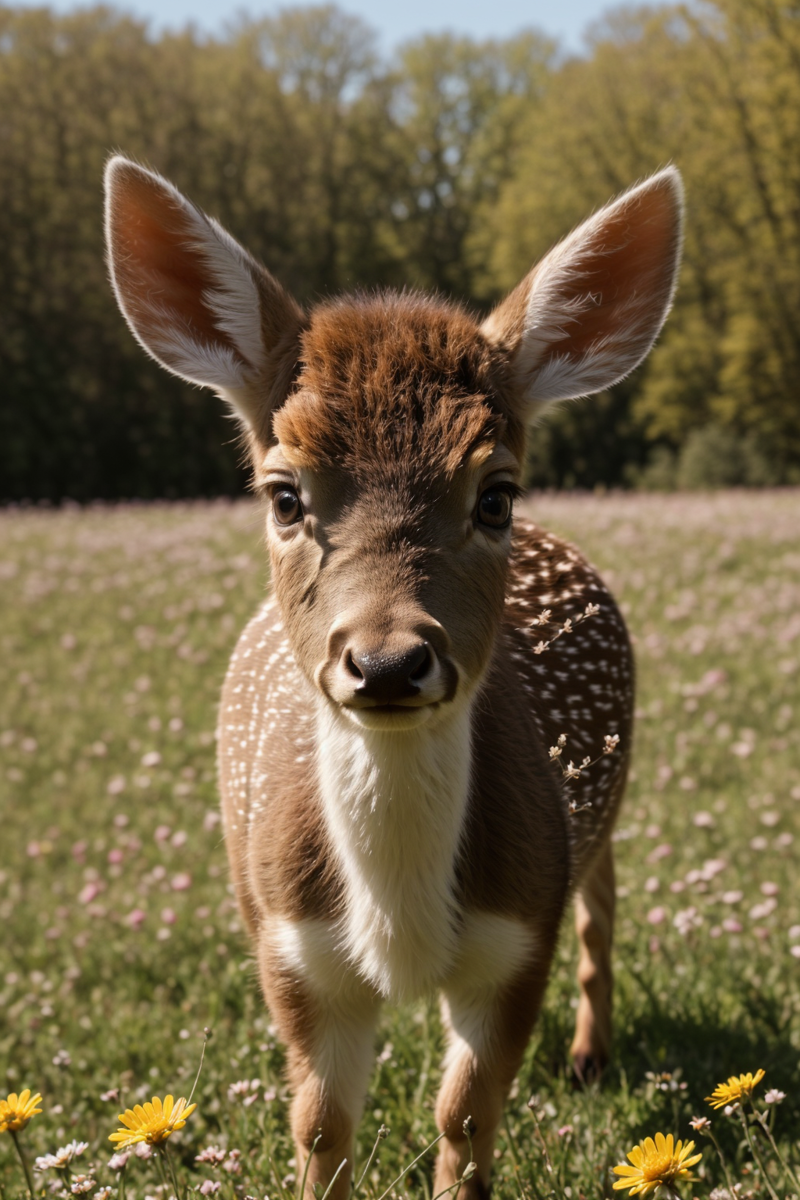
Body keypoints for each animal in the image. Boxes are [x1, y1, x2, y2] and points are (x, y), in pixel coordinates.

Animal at [103, 159, 686, 1200]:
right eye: (283, 494)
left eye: (496, 494)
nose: (386, 660)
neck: (401, 921)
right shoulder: (289, 947)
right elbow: (320, 1129)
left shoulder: (517, 936)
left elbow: (466, 1118)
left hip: (603, 808)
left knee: (603, 917)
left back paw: (590, 1056)